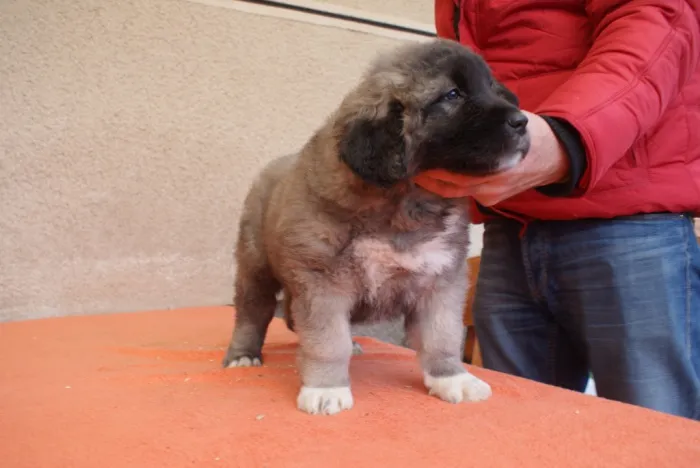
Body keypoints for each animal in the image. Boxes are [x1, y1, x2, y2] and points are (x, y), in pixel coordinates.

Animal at [222, 38, 530, 415]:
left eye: (492, 89)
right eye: (452, 95)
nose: (522, 121)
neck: (405, 202)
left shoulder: (441, 282)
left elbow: (442, 336)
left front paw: (452, 378)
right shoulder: (324, 283)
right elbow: (327, 341)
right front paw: (326, 388)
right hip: (256, 267)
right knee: (253, 312)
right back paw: (243, 356)